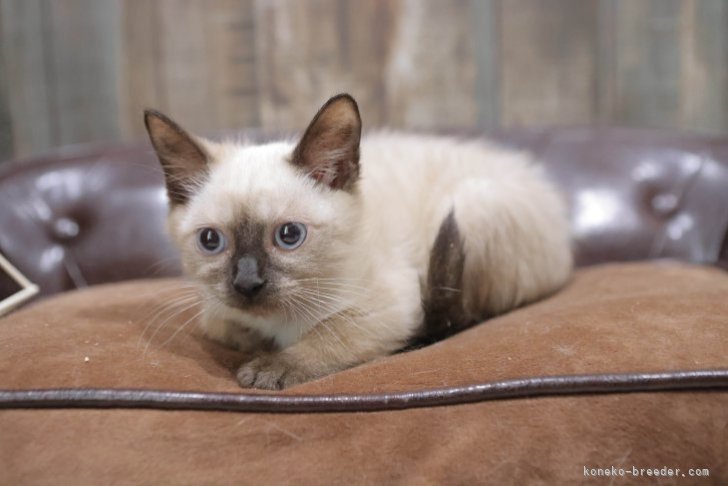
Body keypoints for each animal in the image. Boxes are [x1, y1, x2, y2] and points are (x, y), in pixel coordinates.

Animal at [144, 94, 576, 392]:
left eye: (289, 236)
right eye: (211, 240)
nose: (247, 284)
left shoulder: (388, 308)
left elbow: (327, 338)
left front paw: (267, 368)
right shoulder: (215, 310)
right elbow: (225, 325)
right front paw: (254, 341)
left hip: (471, 207)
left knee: (467, 315)